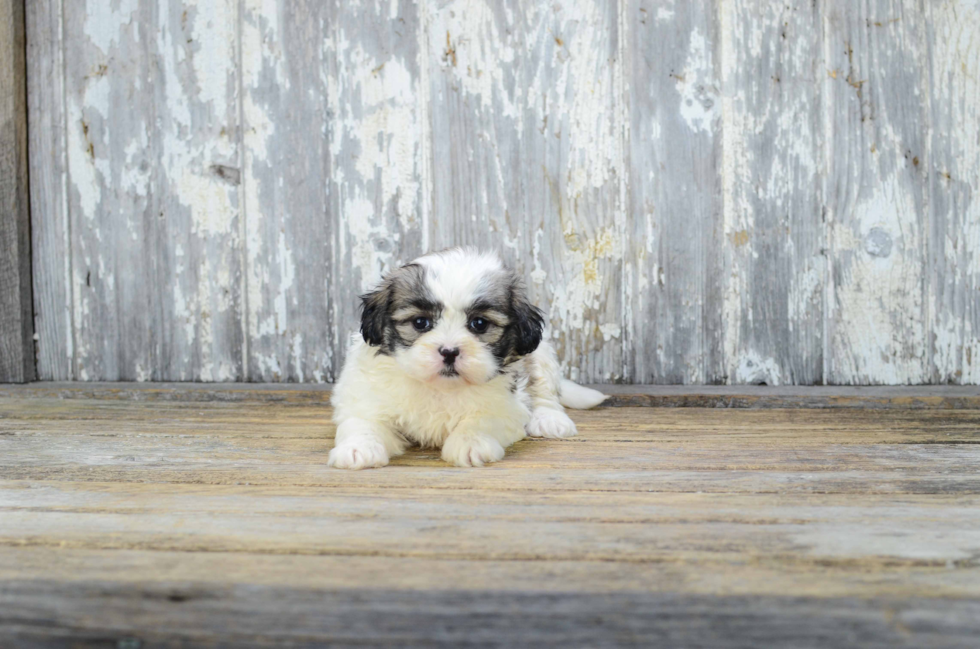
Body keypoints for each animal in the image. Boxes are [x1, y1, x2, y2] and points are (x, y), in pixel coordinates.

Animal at [330, 246, 604, 468]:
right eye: (420, 322)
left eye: (479, 324)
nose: (449, 351)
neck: (440, 388)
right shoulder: (366, 398)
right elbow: (363, 422)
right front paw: (357, 448)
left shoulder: (504, 407)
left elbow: (481, 420)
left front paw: (470, 443)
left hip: (541, 355)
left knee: (545, 392)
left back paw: (550, 419)